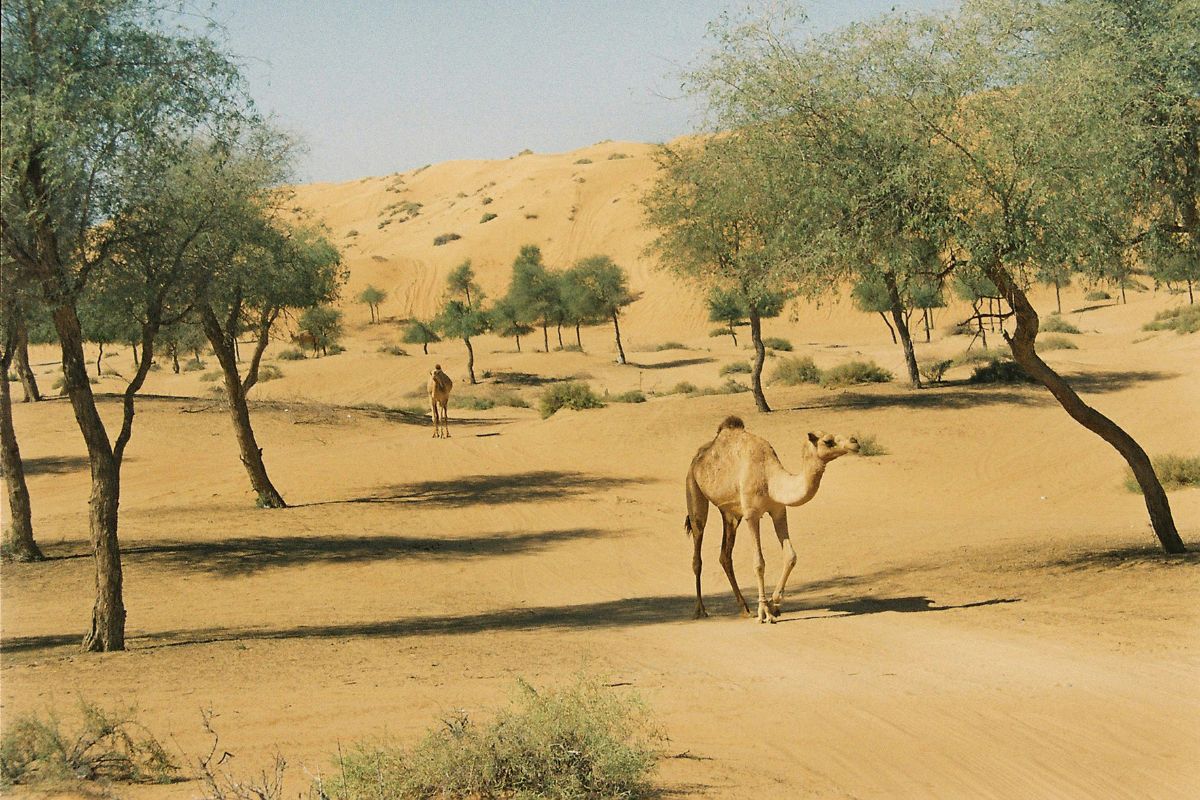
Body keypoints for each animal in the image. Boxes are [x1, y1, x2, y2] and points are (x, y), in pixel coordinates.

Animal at [681, 419, 859, 623]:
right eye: (828, 441)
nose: (854, 441)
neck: (770, 479)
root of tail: (698, 457)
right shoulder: (751, 514)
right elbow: (759, 563)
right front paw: (764, 612)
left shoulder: (779, 510)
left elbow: (791, 556)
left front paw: (775, 604)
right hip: (693, 488)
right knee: (698, 549)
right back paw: (700, 610)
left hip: (731, 513)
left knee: (725, 555)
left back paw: (744, 608)